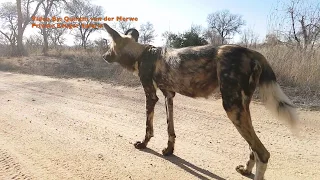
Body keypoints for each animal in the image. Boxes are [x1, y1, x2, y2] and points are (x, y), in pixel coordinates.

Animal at [102, 23, 298, 180]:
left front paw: (143, 144)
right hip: (242, 107)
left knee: (262, 153)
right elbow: (170, 129)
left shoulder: (151, 96)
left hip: (232, 107)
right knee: (253, 148)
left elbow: (148, 128)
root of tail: (254, 53)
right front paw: (169, 150)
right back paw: (245, 170)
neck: (140, 54)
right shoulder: (168, 96)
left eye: (110, 46)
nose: (104, 56)